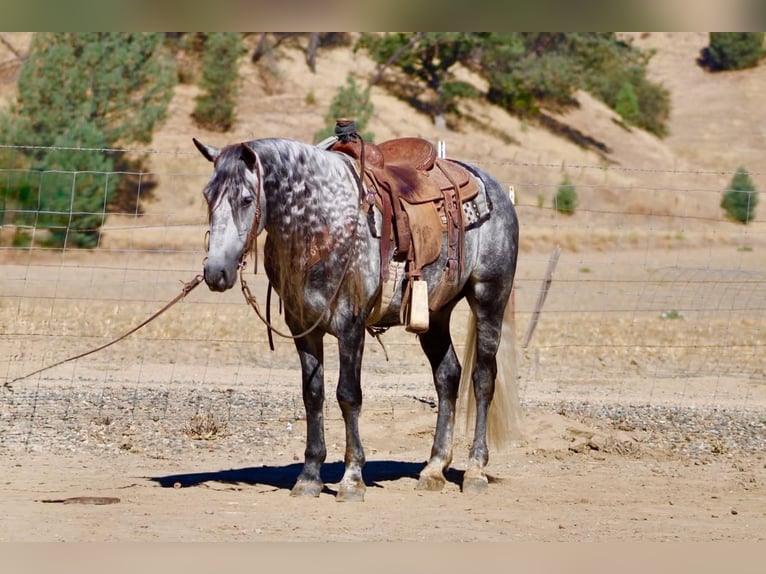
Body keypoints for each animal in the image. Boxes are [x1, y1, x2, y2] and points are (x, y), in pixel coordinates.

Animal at [193, 134, 520, 501]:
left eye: (247, 198)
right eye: (208, 195)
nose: (215, 272)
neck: (323, 223)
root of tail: (492, 186)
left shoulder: (350, 325)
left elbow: (348, 395)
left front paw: (352, 477)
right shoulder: (303, 328)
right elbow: (313, 395)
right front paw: (309, 476)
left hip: (489, 298)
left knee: (483, 378)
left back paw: (476, 469)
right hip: (435, 314)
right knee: (448, 376)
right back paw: (434, 468)